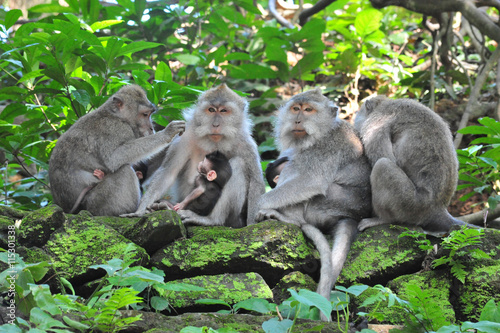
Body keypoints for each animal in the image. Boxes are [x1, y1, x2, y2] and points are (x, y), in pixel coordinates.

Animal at [48, 83, 185, 215]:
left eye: (150, 114)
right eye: (145, 114)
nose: (151, 128)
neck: (115, 115)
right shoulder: (116, 129)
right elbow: (114, 158)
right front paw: (167, 134)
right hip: (97, 202)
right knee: (124, 170)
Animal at [258, 88, 372, 320]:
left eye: (308, 109)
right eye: (296, 108)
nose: (298, 120)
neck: (322, 132)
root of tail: (352, 217)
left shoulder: (327, 147)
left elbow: (311, 181)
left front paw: (257, 204)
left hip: (329, 204)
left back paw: (290, 219)